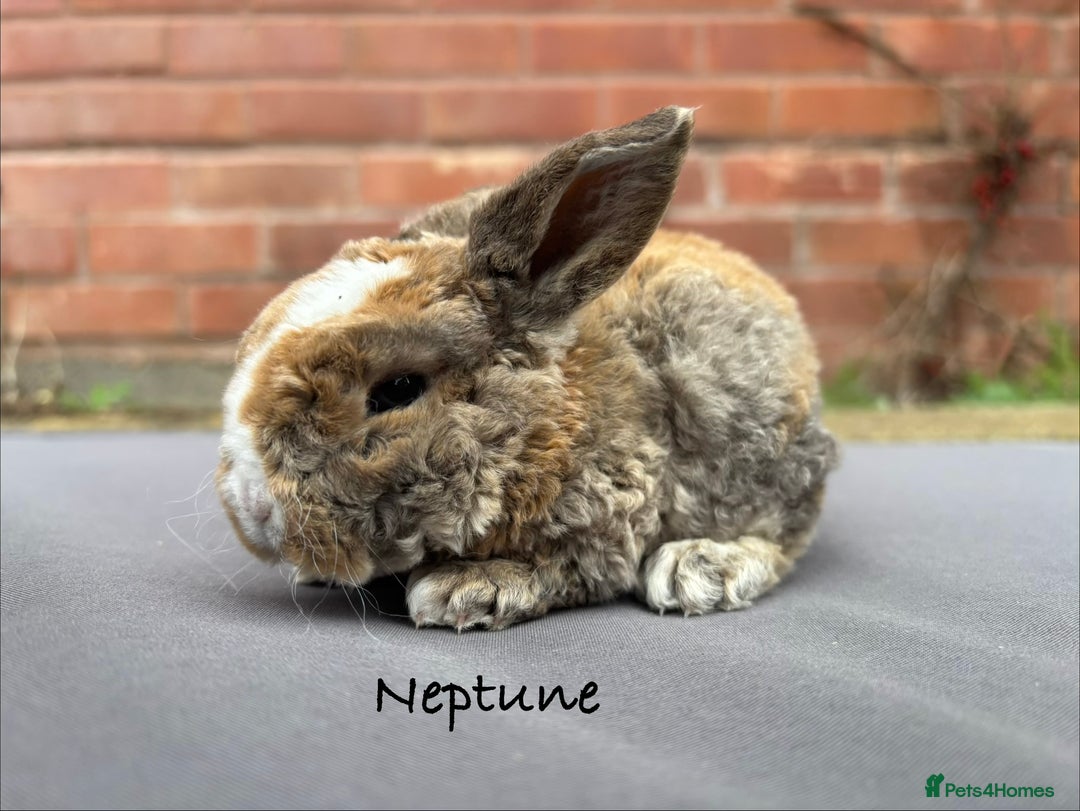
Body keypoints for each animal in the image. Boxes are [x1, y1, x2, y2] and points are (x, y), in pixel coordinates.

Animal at [216, 106, 839, 631]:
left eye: (397, 390)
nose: (254, 508)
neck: (554, 422)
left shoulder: (613, 515)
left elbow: (568, 566)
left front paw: (464, 588)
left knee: (784, 534)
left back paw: (699, 568)